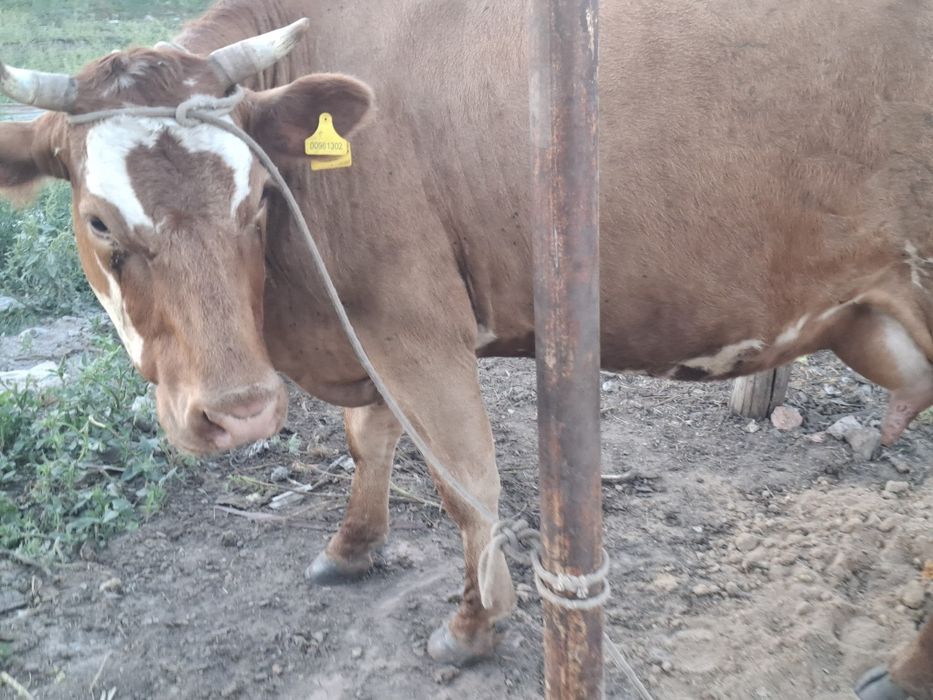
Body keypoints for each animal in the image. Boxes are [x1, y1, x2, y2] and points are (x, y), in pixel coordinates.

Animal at [0, 0, 930, 696]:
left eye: (258, 196)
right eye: (98, 221)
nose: (243, 413)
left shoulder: (412, 325)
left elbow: (464, 487)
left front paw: (475, 625)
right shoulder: (365, 328)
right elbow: (367, 441)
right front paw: (352, 548)